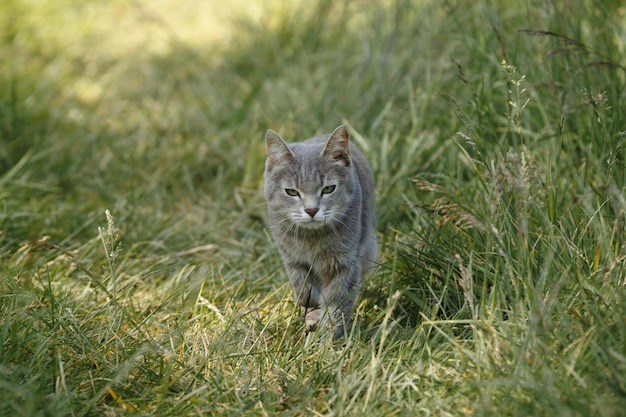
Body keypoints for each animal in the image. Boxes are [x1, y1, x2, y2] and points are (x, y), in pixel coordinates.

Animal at [264, 124, 376, 338]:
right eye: (292, 192)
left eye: (328, 189)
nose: (311, 210)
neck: (312, 240)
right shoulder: (292, 259)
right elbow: (303, 291)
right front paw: (313, 311)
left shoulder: (345, 263)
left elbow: (337, 304)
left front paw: (328, 338)